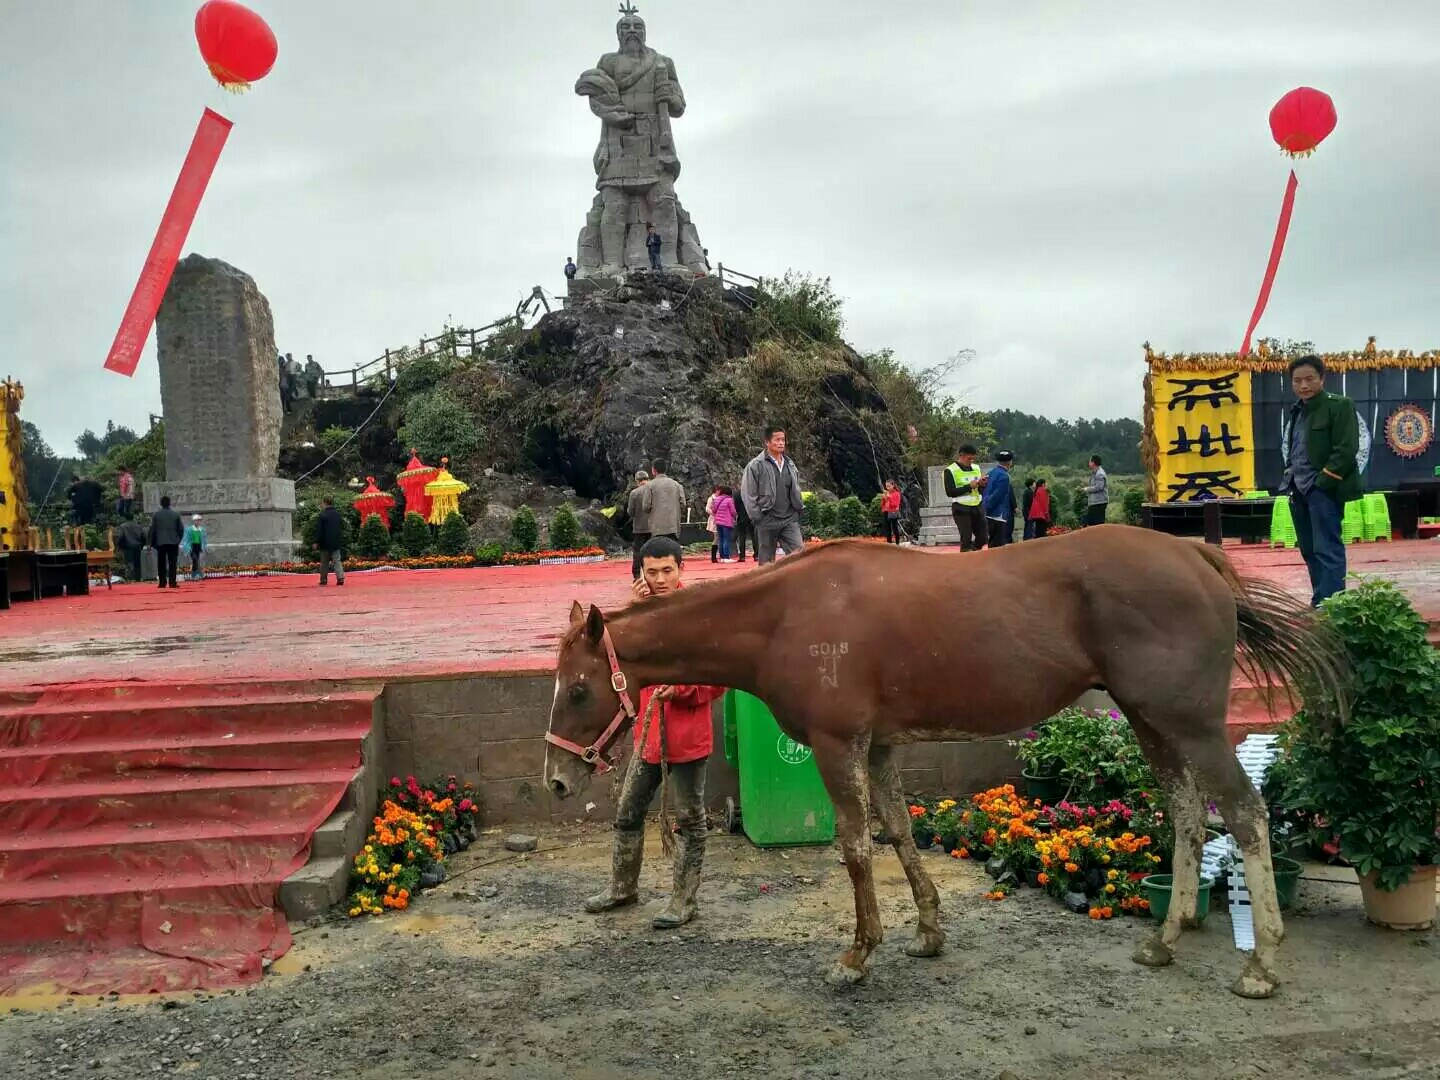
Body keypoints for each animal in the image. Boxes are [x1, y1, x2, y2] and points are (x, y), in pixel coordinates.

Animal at [541, 529, 1347, 1002]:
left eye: (577, 688)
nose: (556, 778)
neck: (788, 613)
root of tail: (1195, 555)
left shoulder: (839, 744)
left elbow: (856, 846)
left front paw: (857, 954)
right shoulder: (882, 745)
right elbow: (899, 831)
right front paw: (928, 930)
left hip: (1194, 725)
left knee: (1245, 814)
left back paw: (1261, 964)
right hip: (1152, 723)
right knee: (1185, 814)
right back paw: (1166, 938)